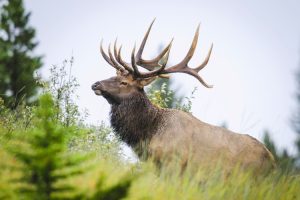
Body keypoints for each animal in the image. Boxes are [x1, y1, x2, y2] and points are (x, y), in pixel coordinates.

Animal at [92, 19, 276, 173]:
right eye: (113, 75)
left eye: (124, 82)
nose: (96, 84)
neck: (148, 133)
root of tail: (271, 160)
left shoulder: (174, 163)